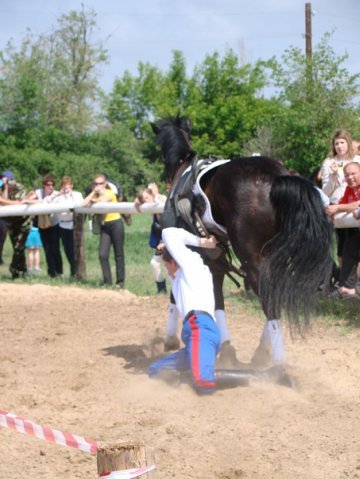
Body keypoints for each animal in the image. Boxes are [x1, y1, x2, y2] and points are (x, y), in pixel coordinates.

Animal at [150, 116, 334, 368]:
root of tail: (277, 177)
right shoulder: (215, 256)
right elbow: (216, 298)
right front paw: (227, 349)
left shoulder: (191, 251)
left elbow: (180, 293)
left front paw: (169, 339)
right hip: (275, 255)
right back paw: (262, 352)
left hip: (251, 258)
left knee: (269, 301)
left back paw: (277, 363)